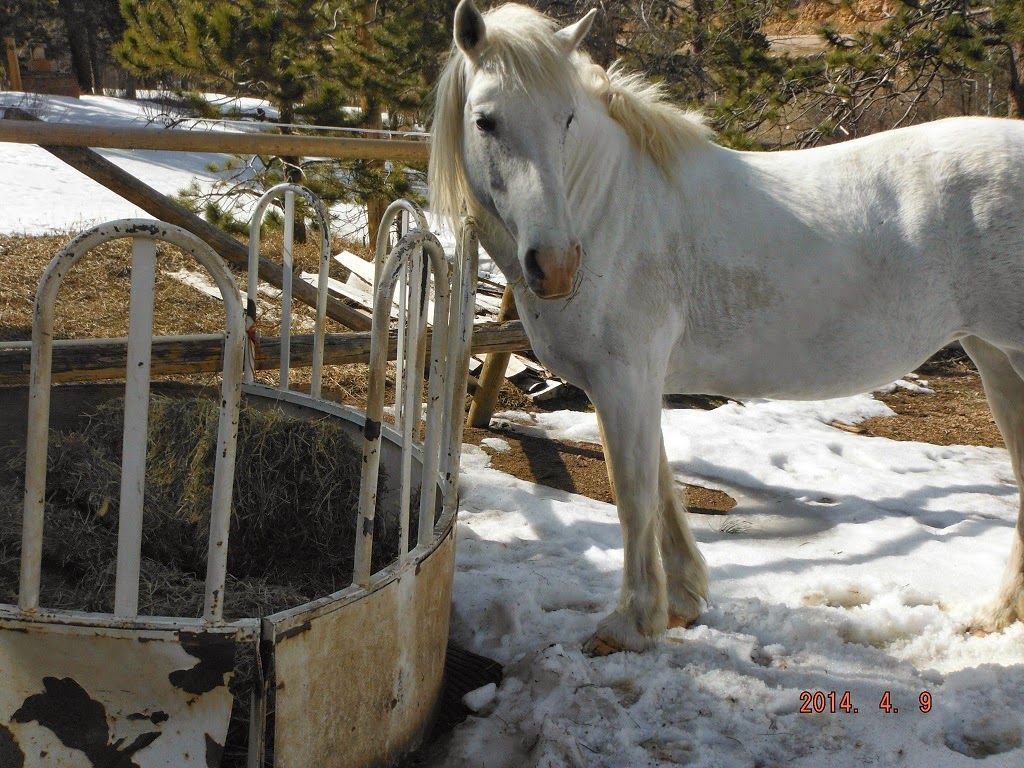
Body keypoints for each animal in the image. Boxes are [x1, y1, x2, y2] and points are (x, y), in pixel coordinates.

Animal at [429, 0, 1024, 654]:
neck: (614, 208)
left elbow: (634, 494)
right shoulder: (636, 382)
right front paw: (682, 602)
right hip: (995, 357)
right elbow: (661, 485)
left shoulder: (623, 378)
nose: (556, 265)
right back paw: (994, 615)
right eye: (485, 121)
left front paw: (631, 624)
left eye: (566, 119)